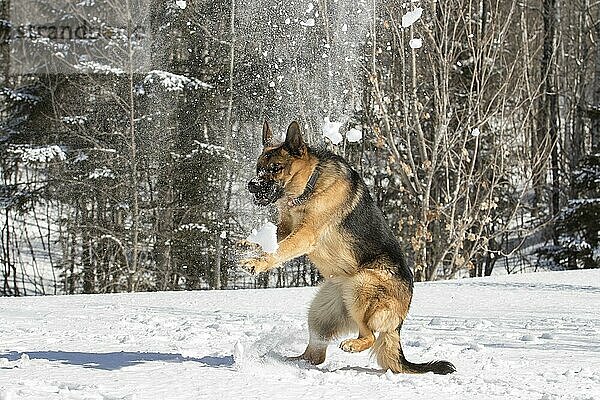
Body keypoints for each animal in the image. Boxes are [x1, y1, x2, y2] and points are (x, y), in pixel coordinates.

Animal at [243, 122, 454, 376]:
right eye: (258, 168)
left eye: (276, 168)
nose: (251, 185)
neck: (310, 184)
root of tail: (399, 323)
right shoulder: (286, 229)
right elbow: (273, 241)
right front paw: (248, 244)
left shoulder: (304, 236)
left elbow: (278, 251)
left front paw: (256, 262)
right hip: (321, 311)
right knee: (315, 355)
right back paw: (285, 361)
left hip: (360, 286)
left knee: (370, 336)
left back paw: (352, 344)